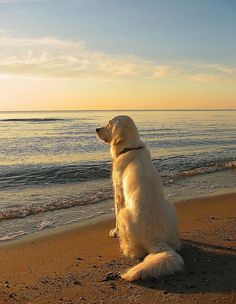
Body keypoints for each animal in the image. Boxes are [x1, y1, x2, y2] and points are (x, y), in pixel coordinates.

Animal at [95, 116, 183, 280]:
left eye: (109, 124)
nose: (96, 129)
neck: (130, 148)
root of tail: (157, 241)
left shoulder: (118, 190)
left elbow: (116, 211)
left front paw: (114, 232)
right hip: (171, 207)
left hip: (125, 215)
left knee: (134, 251)